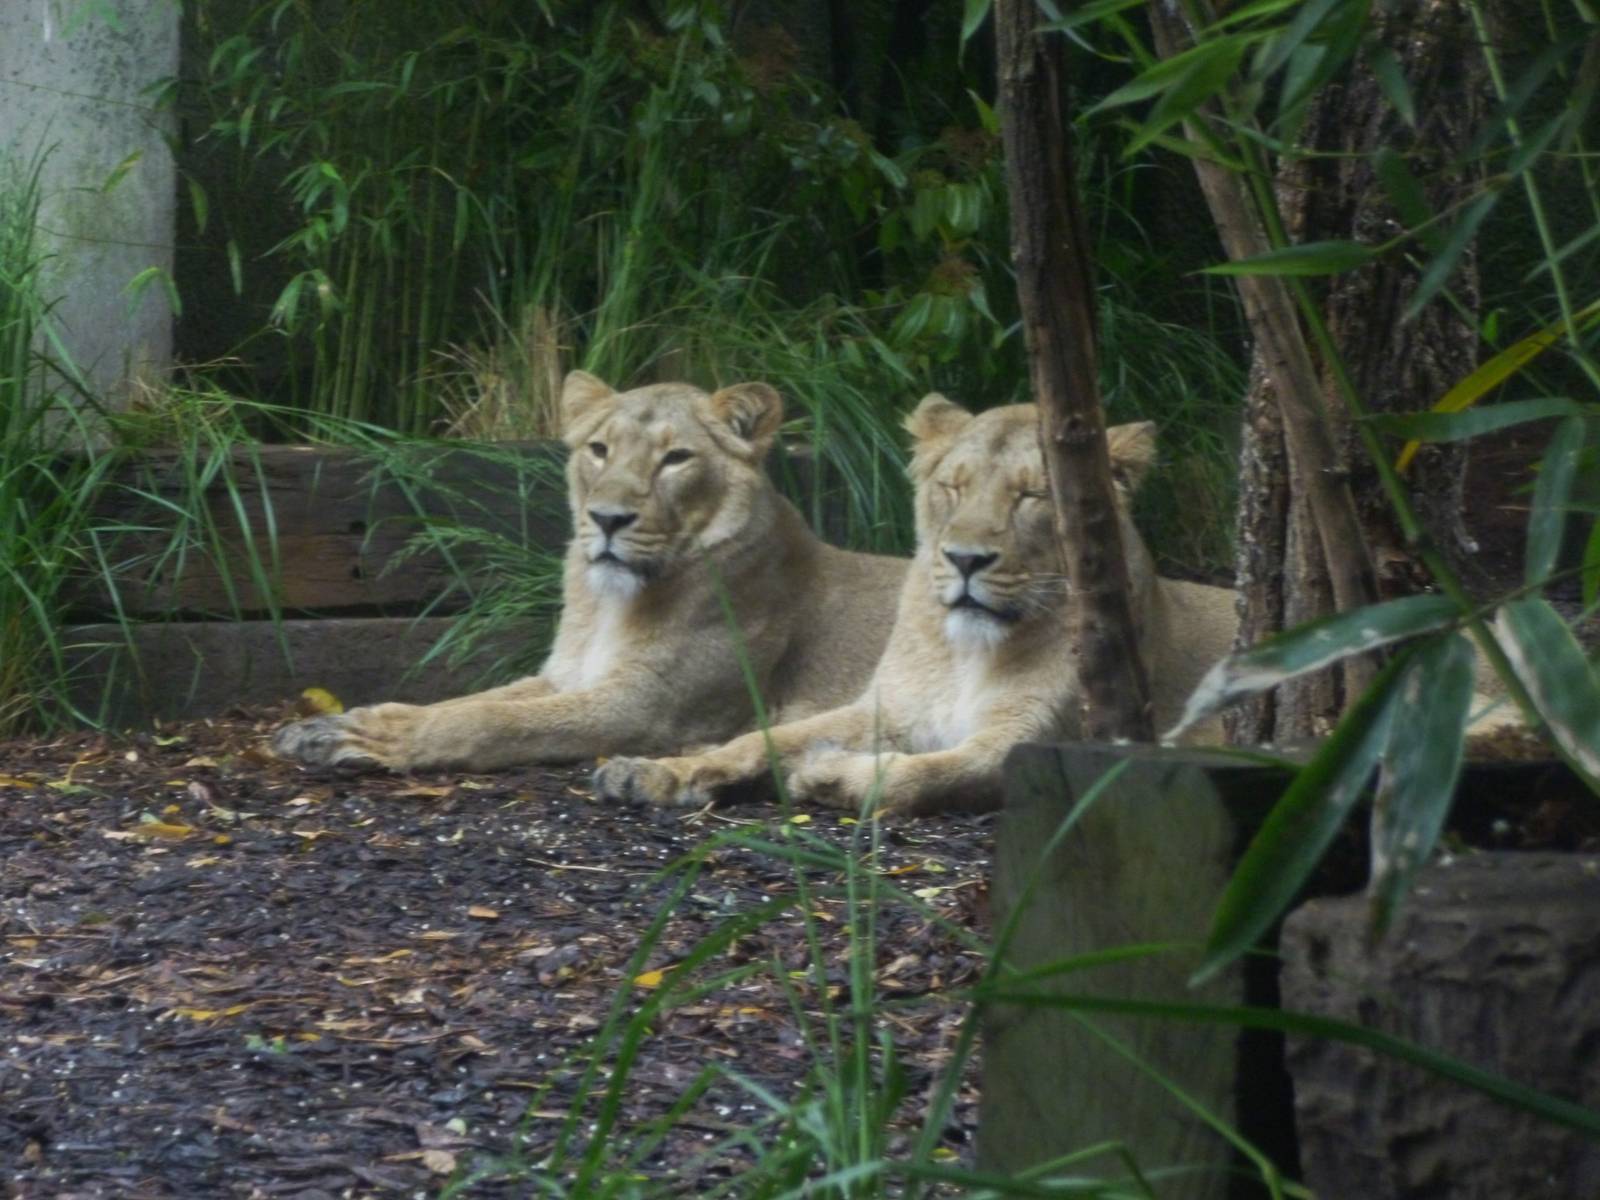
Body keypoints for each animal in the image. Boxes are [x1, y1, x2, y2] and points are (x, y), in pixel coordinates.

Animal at [270, 371, 908, 771]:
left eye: (677, 458)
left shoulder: (650, 706)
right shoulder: (563, 676)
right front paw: (337, 725)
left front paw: (387, 738)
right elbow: (467, 701)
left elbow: (495, 721)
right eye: (600, 450)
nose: (607, 519)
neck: (606, 605)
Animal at [593, 395, 1241, 817]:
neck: (969, 652)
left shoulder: (1041, 738)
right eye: (953, 487)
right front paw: (656, 772)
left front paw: (828, 775)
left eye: (1032, 495)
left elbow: (933, 772)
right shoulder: (887, 709)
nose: (965, 559)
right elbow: (762, 741)